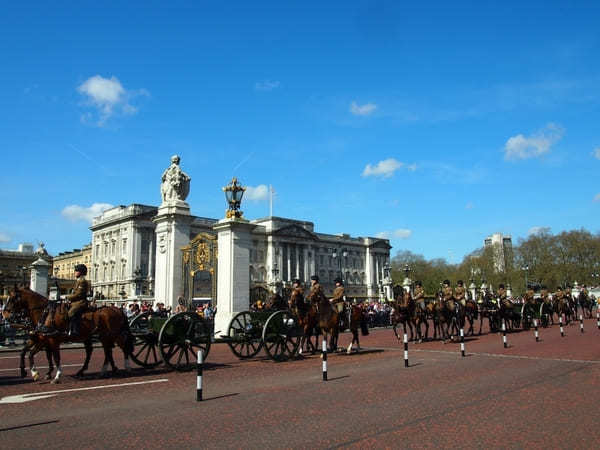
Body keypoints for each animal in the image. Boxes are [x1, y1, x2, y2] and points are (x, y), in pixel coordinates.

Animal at [3, 288, 134, 384]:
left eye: (13, 298)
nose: (5, 315)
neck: (45, 314)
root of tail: (117, 309)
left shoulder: (52, 340)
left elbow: (55, 358)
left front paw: (56, 376)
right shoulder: (41, 339)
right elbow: (27, 353)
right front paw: (32, 372)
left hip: (113, 335)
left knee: (122, 348)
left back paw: (126, 368)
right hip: (102, 336)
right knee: (104, 351)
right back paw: (101, 370)